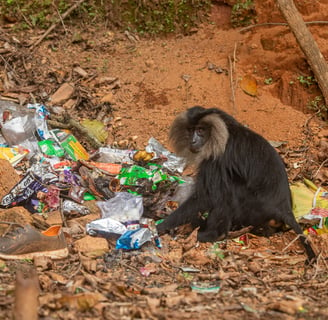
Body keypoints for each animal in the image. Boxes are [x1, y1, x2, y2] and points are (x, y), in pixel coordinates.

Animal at [158, 106, 316, 264]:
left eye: (200, 130)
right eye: (191, 130)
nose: (193, 140)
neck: (225, 132)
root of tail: (285, 209)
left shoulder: (217, 159)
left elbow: (207, 197)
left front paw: (161, 225)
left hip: (252, 209)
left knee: (227, 190)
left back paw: (212, 234)